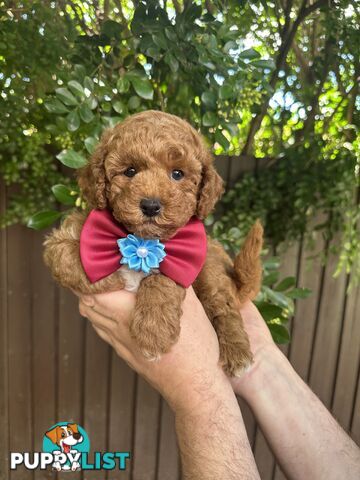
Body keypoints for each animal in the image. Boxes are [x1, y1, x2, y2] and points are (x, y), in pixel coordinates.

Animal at [44, 109, 262, 376]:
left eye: (177, 174)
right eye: (130, 171)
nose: (150, 205)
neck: (141, 238)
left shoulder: (186, 262)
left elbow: (162, 279)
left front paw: (154, 332)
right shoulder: (66, 236)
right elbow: (65, 257)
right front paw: (112, 278)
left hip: (211, 271)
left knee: (225, 309)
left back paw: (237, 353)